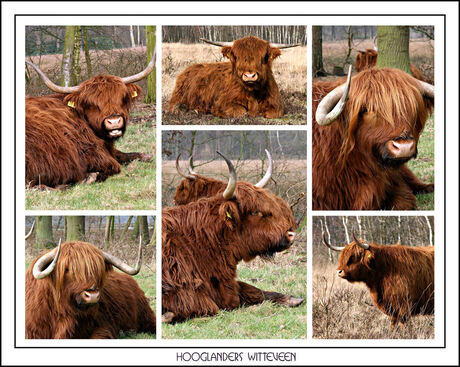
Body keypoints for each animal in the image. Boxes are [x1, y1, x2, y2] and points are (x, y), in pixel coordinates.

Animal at [167, 36, 300, 118]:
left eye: (264, 56)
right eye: (237, 56)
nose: (250, 75)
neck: (253, 93)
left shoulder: (277, 104)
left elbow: (272, 113)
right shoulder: (222, 103)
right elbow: (241, 112)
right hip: (178, 97)